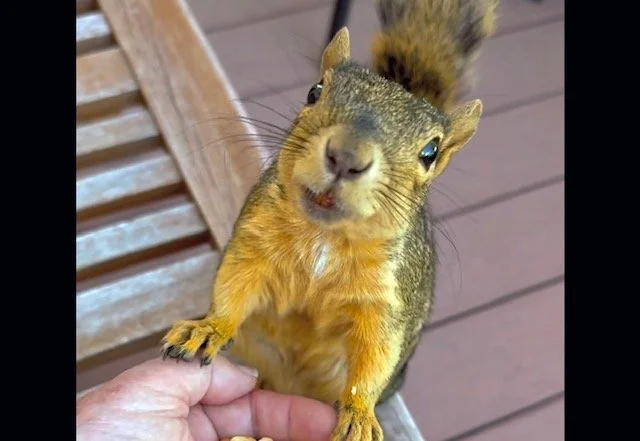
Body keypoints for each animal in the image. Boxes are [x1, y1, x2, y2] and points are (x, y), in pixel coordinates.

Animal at [161, 0, 497, 439]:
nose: (346, 156)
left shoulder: (388, 301)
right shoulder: (253, 242)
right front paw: (208, 329)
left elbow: (376, 354)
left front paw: (359, 413)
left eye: (430, 152)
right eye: (314, 91)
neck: (325, 235)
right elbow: (233, 287)